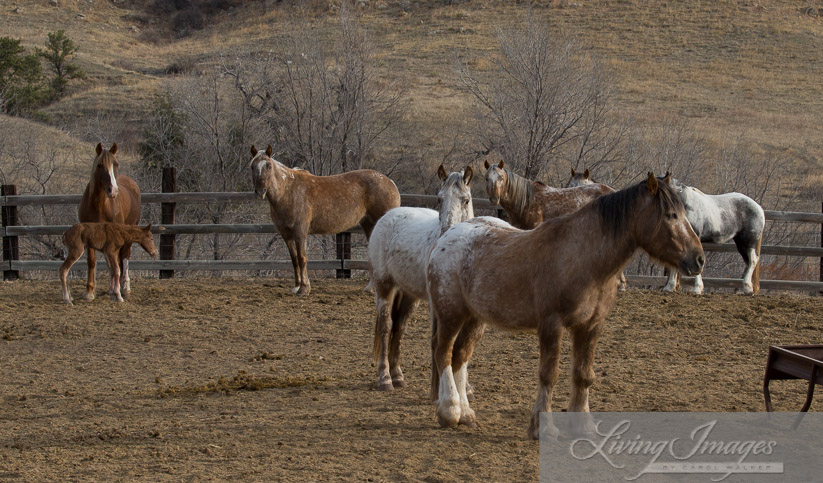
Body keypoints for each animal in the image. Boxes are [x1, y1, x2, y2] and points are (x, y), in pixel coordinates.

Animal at [77, 144, 142, 300]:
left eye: (116, 164)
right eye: (100, 165)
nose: (113, 191)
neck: (99, 205)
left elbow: (117, 262)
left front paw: (118, 290)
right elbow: (92, 262)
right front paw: (89, 292)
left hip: (130, 230)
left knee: (125, 256)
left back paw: (125, 287)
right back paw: (113, 288)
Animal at [249, 145, 400, 294]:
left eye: (268, 166)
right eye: (252, 166)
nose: (260, 191)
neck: (287, 192)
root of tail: (390, 183)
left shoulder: (300, 233)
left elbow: (302, 259)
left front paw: (304, 288)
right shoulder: (287, 236)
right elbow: (294, 260)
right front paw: (297, 286)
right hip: (369, 226)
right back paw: (370, 288)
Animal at [368, 164, 476, 392]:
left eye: (466, 200)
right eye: (439, 199)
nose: (447, 232)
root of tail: (388, 216)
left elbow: (464, 343)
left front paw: (466, 387)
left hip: (409, 295)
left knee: (399, 328)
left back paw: (398, 376)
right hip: (384, 287)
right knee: (386, 327)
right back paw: (385, 378)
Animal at [428, 173, 704, 438]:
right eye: (670, 215)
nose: (698, 259)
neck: (583, 259)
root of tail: (446, 237)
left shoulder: (591, 327)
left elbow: (583, 375)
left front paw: (583, 424)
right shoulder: (552, 326)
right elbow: (549, 375)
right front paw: (542, 428)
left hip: (475, 318)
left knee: (460, 356)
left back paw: (465, 413)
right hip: (451, 315)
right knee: (443, 353)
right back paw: (449, 410)